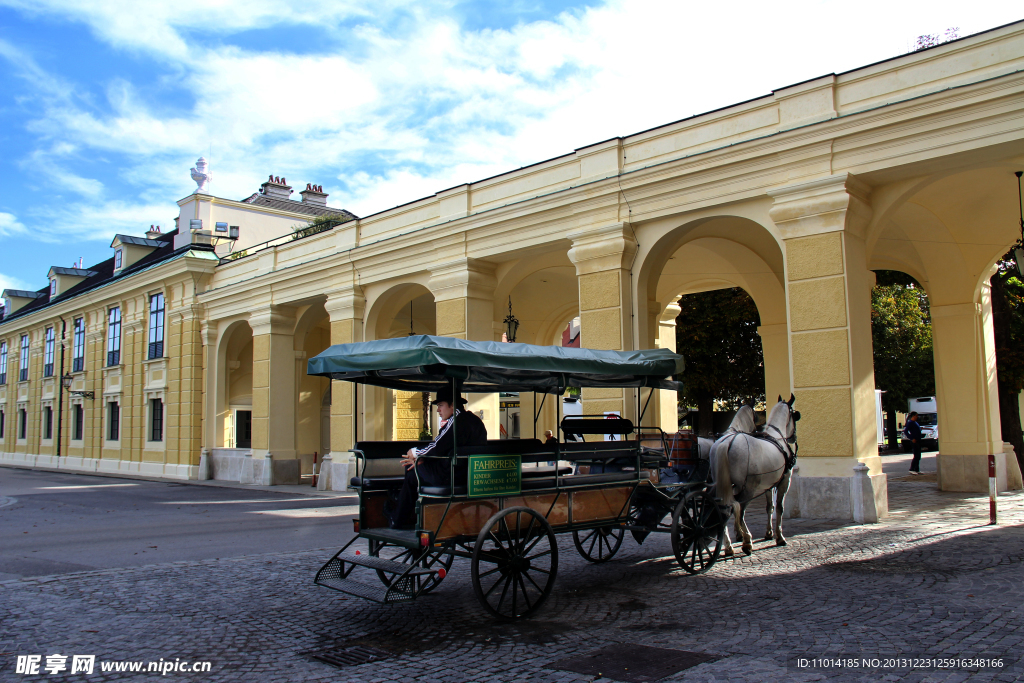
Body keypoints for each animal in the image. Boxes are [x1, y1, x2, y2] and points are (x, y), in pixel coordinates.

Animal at [712, 397, 798, 557]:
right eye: (794, 416)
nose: (794, 437)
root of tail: (726, 443)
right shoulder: (784, 481)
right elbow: (779, 508)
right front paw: (780, 537)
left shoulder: (768, 485)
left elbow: (769, 507)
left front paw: (769, 533)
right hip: (748, 489)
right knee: (740, 511)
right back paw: (747, 541)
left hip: (722, 486)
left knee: (724, 510)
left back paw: (728, 546)